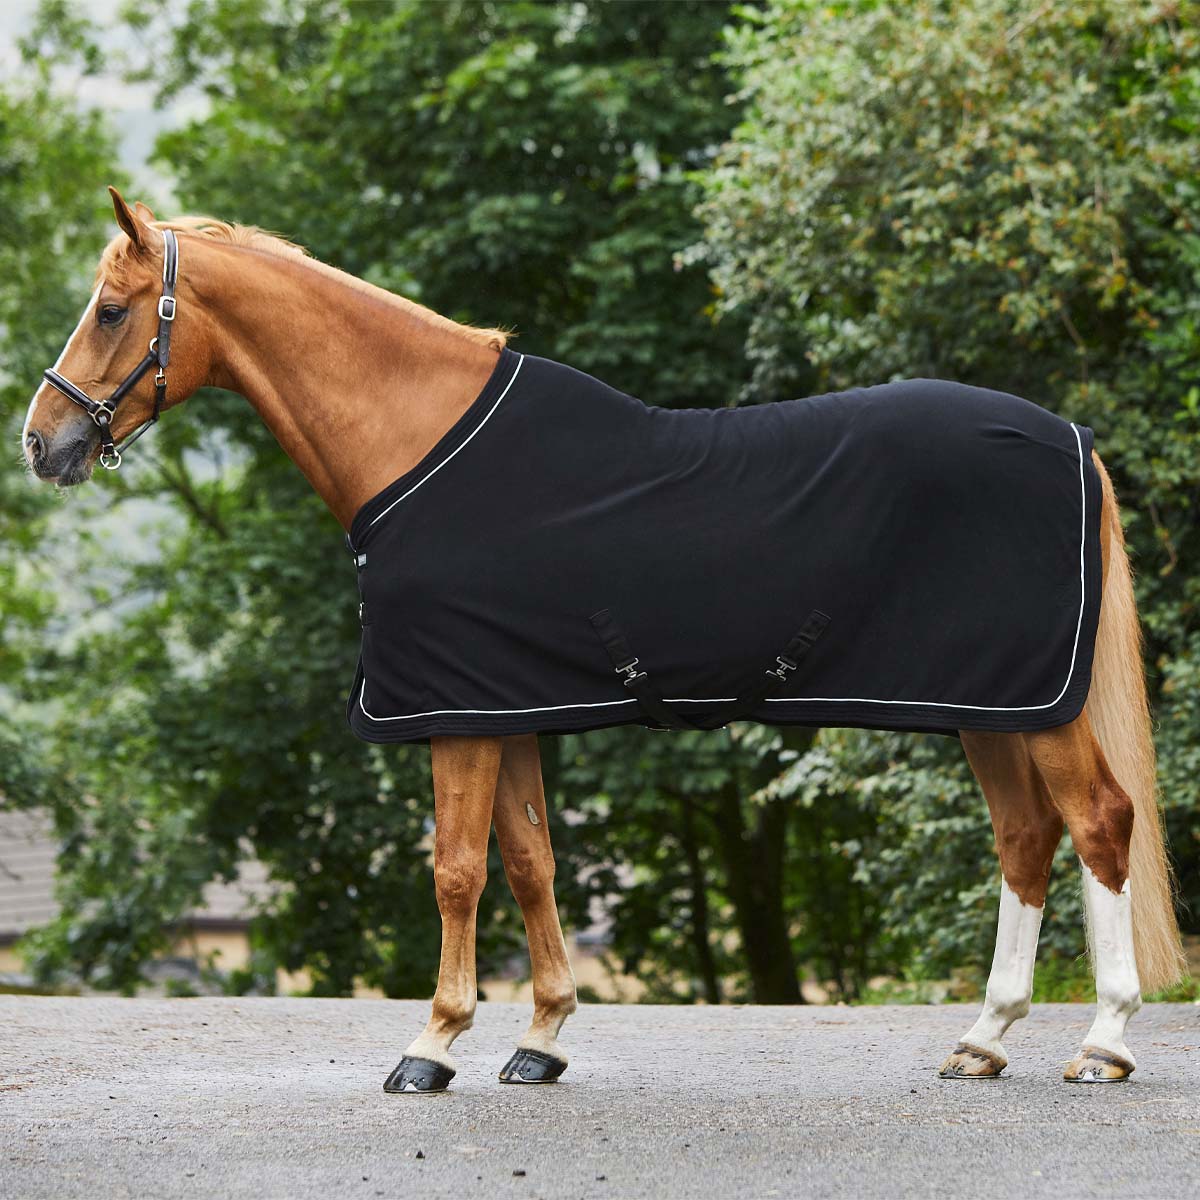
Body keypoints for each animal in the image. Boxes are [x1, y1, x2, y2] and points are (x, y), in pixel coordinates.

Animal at [23, 184, 1185, 1089]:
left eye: (113, 310)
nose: (42, 442)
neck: (420, 440)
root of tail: (1072, 439)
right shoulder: (506, 704)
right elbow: (532, 859)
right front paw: (540, 1038)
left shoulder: (458, 710)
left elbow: (457, 869)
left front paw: (432, 1045)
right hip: (989, 704)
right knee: (1025, 839)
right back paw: (984, 1039)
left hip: (1037, 708)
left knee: (1100, 823)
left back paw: (1104, 1042)